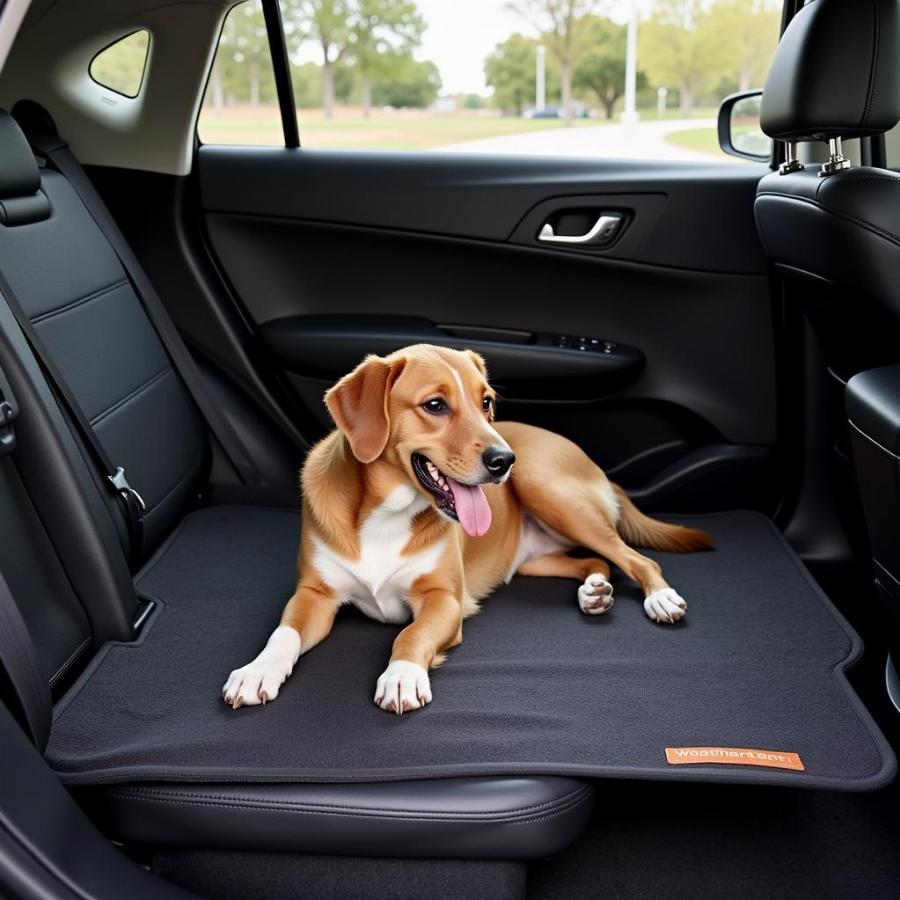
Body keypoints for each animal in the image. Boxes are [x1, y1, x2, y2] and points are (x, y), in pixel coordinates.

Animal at [223, 348, 712, 712]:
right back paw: (593, 592)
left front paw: (401, 676)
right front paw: (257, 670)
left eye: (486, 402)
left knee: (634, 557)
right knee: (596, 561)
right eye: (434, 405)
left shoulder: (444, 600)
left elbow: (410, 634)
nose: (503, 461)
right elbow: (283, 633)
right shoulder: (315, 595)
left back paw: (660, 597)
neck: (383, 514)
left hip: (546, 488)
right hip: (533, 557)